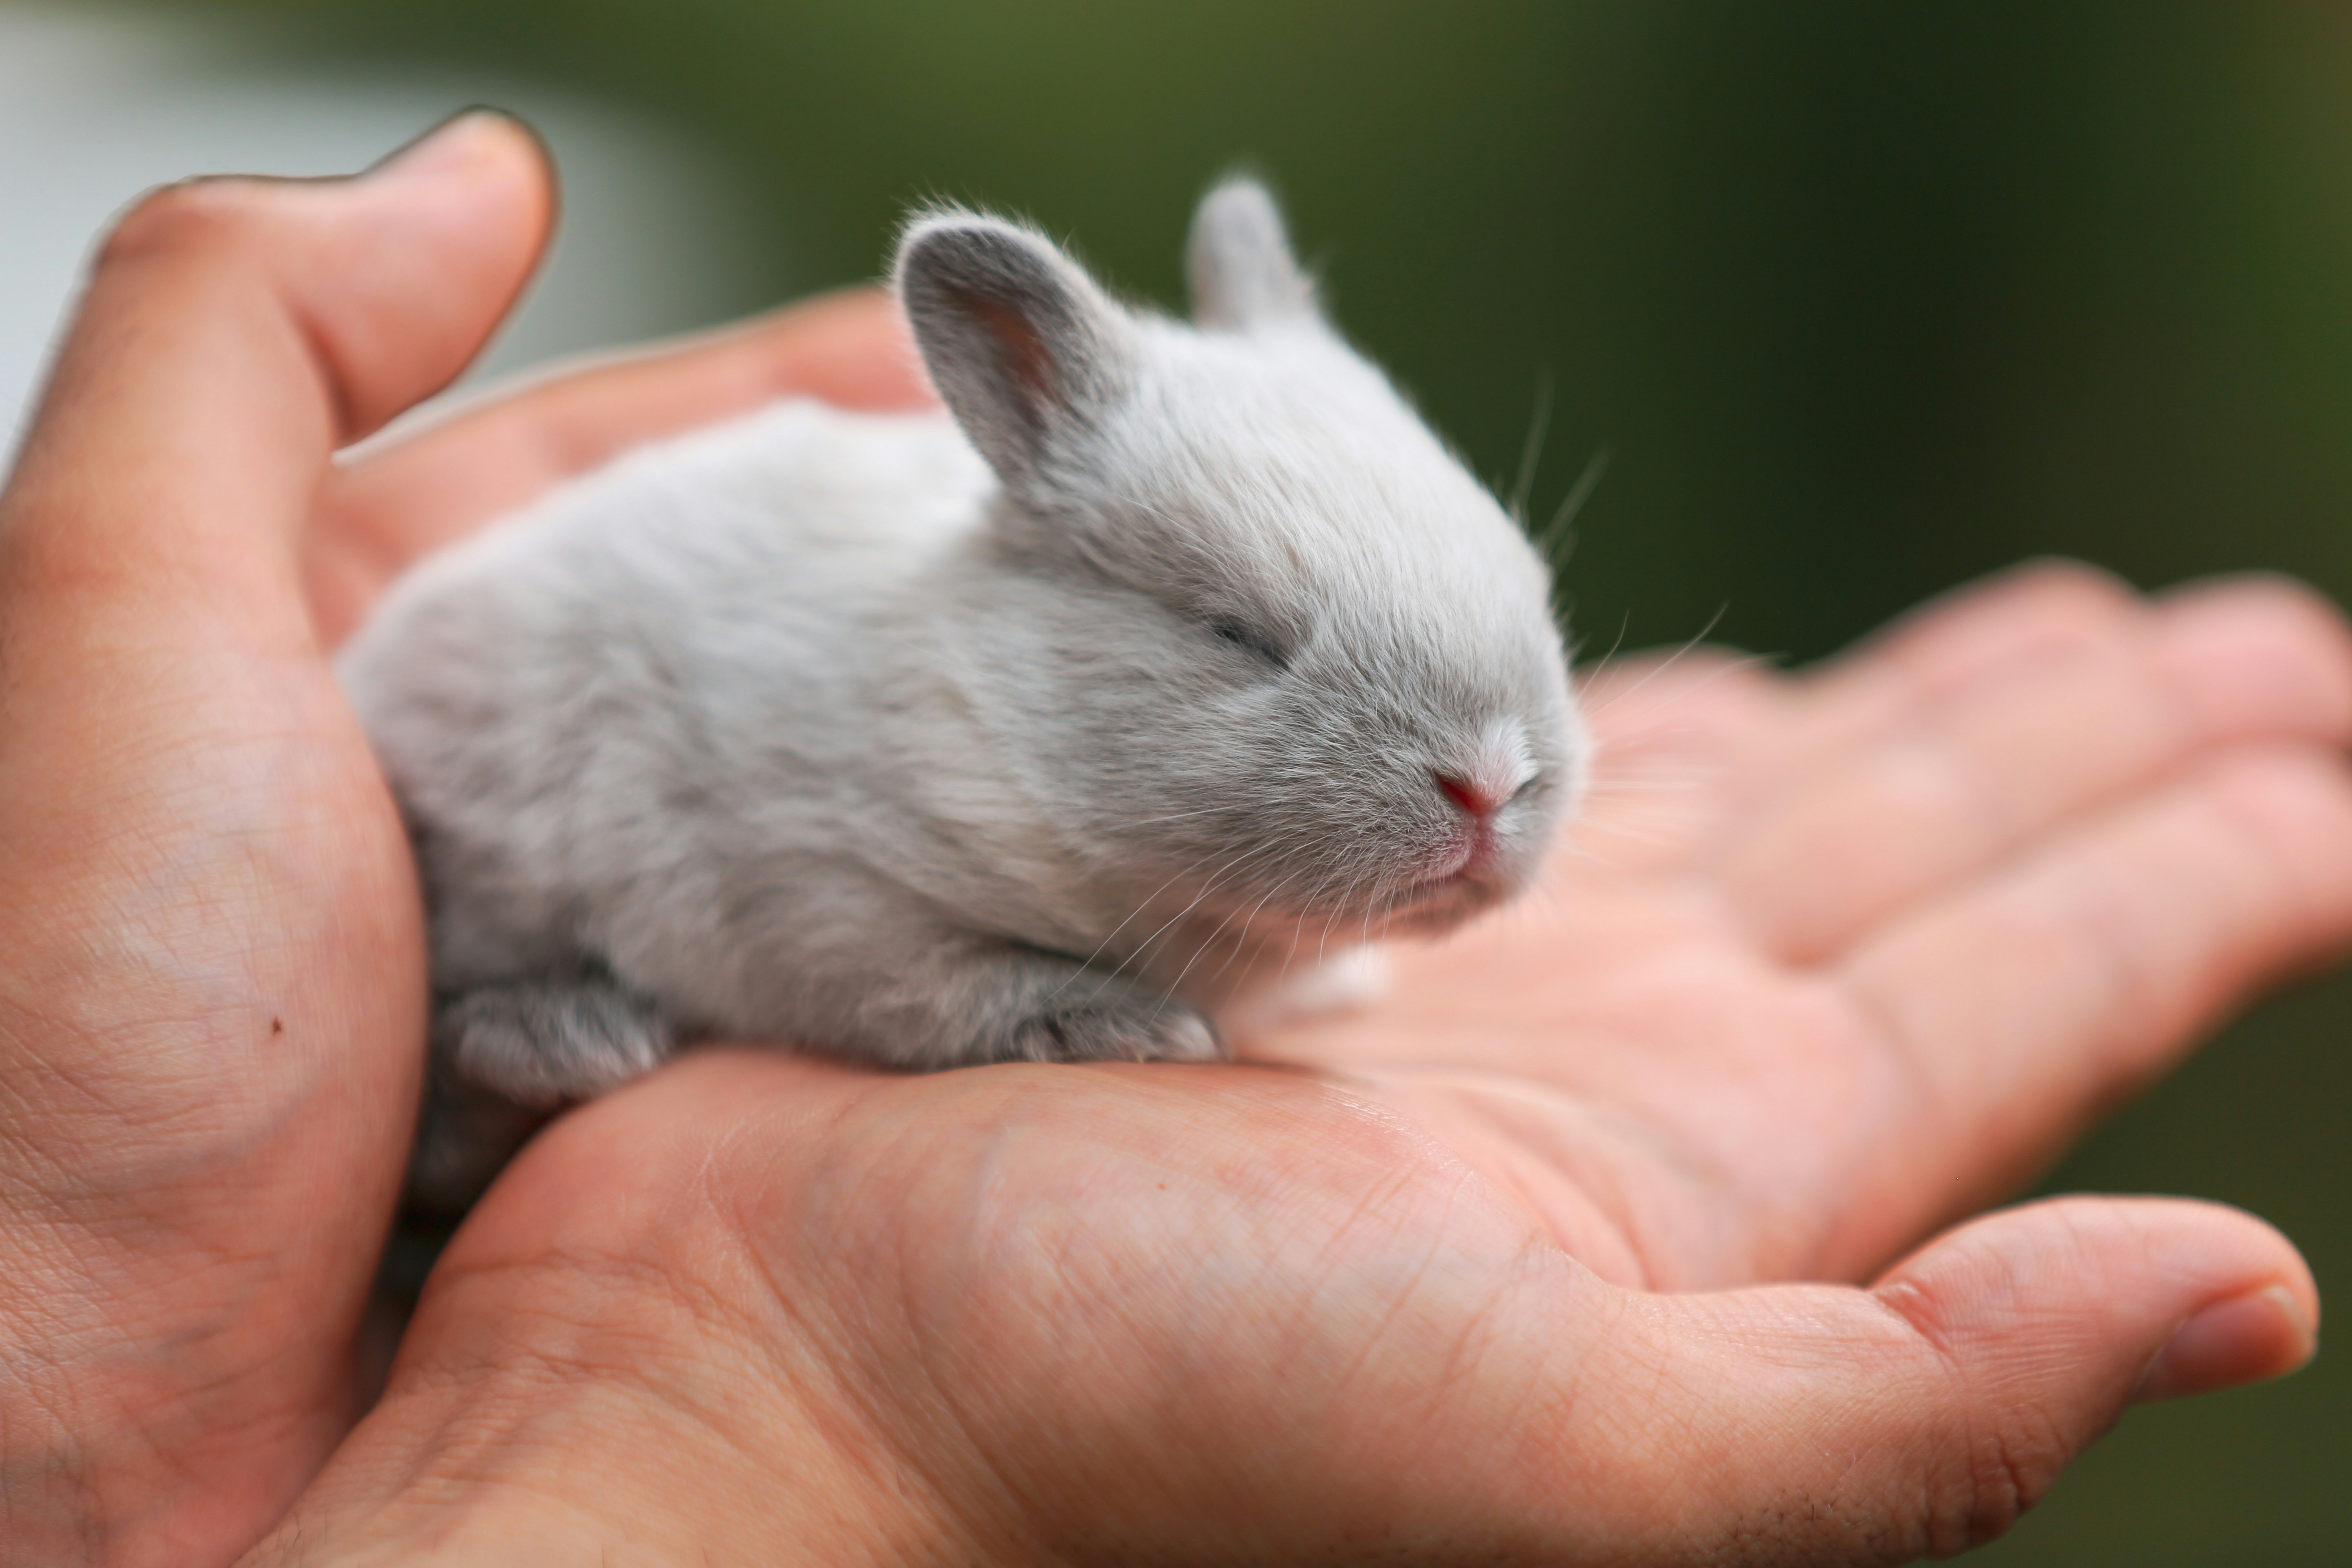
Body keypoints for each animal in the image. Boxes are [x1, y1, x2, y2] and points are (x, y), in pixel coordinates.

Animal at [337, 178, 1586, 1207]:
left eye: (1531, 581)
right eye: (1235, 632)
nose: (1487, 786)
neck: (1002, 713)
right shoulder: (817, 891)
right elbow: (935, 986)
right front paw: (1117, 1023)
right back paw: (562, 1037)